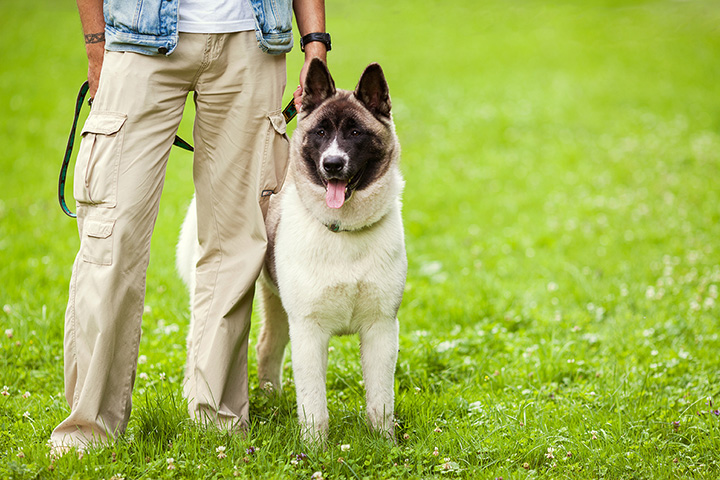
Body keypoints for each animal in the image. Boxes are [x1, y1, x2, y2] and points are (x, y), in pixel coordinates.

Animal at [178, 59, 408, 442]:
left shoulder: (381, 328)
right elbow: (315, 405)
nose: (332, 164)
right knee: (198, 348)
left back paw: (271, 399)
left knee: (266, 347)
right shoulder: (309, 330)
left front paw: (385, 445)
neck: (342, 230)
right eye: (320, 133)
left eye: (356, 132)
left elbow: (380, 402)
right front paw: (315, 448)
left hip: (277, 304)